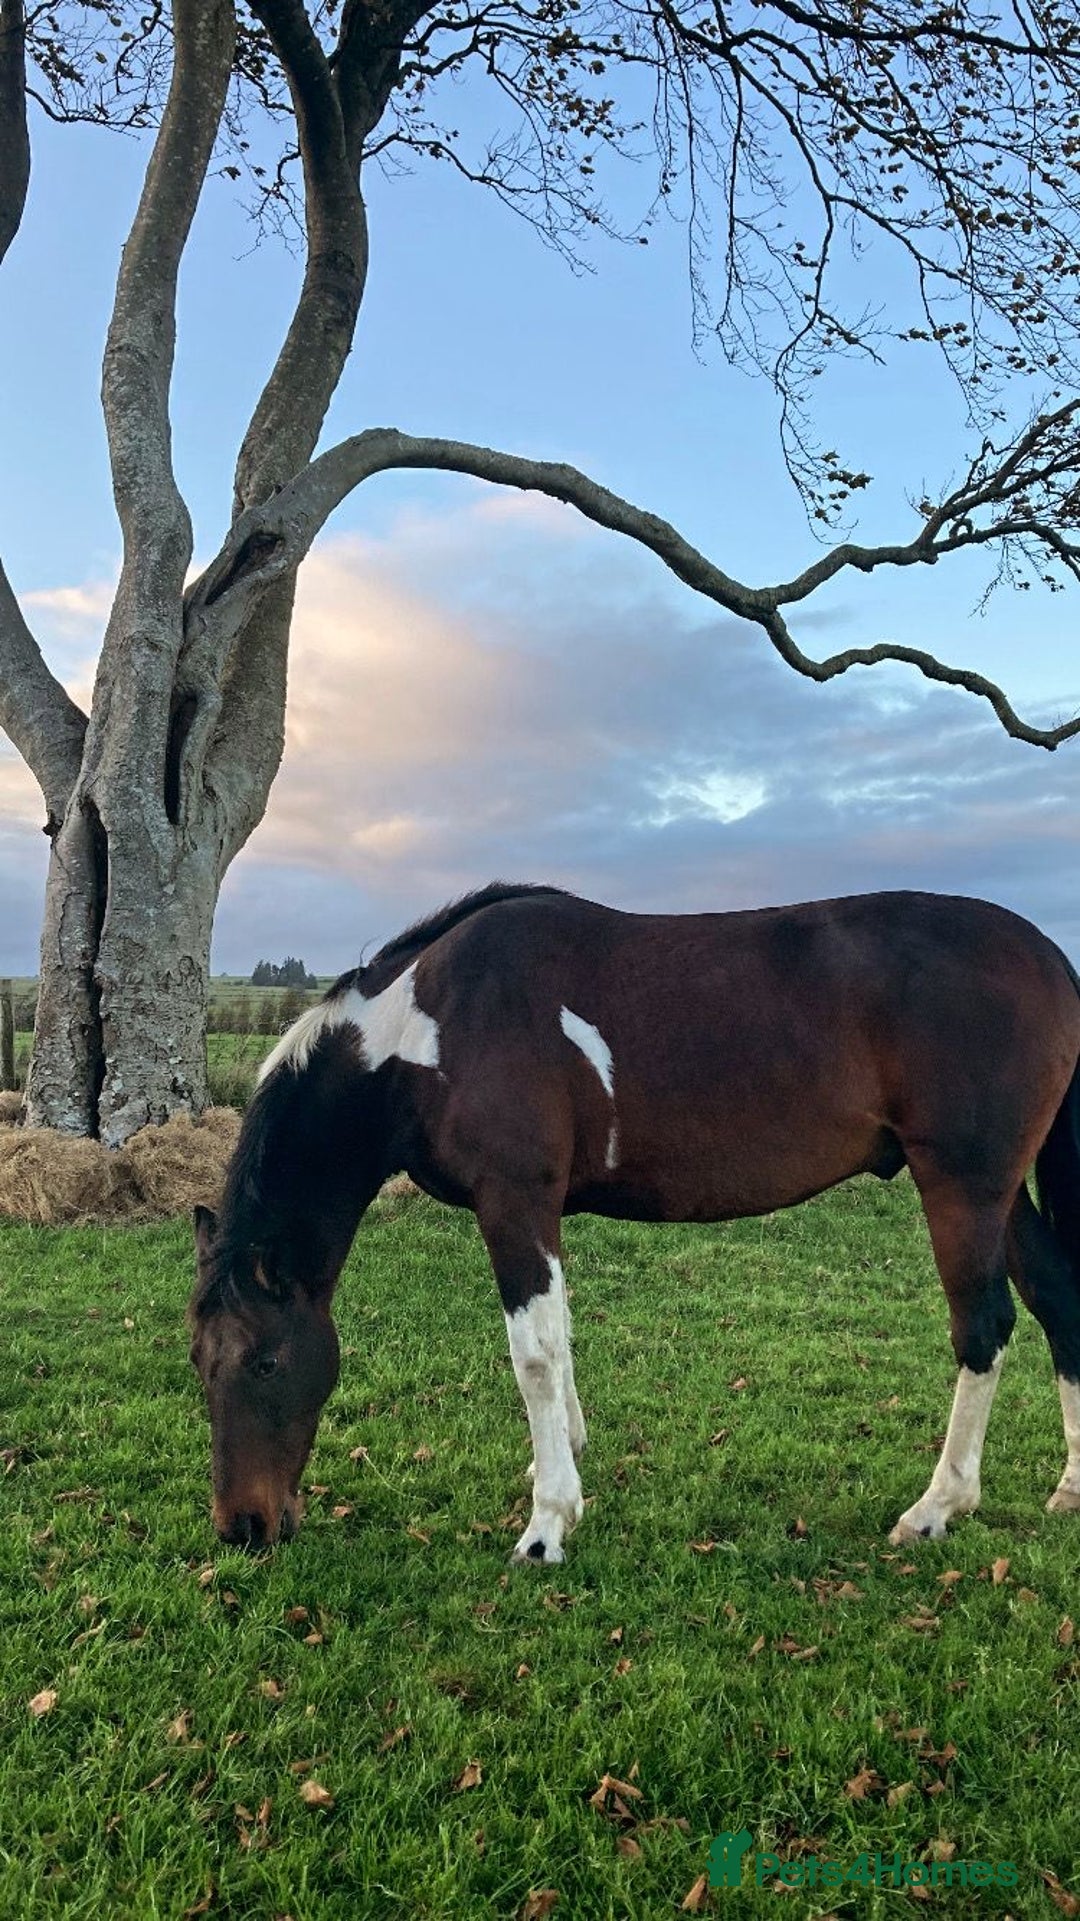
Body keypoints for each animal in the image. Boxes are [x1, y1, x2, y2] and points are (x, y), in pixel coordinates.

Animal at [188, 881, 1080, 1564]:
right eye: (200, 1363)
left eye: (265, 1363)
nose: (243, 1526)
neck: (425, 1029)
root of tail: (1048, 956)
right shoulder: (540, 1212)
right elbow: (561, 1338)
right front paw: (562, 1462)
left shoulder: (515, 1200)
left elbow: (534, 1353)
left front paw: (548, 1524)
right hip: (997, 1194)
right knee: (1056, 1299)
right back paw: (1069, 1485)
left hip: (963, 1184)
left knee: (985, 1327)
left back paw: (936, 1507)